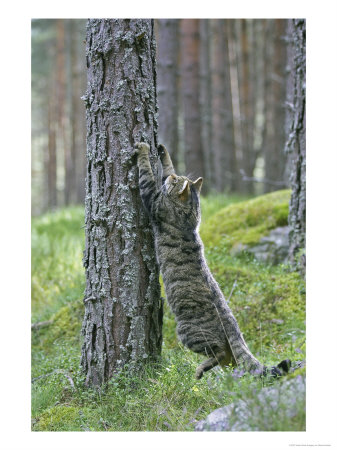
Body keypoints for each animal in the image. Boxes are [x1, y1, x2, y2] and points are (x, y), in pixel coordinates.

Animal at [134, 142, 288, 380]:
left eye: (176, 182)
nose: (173, 179)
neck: (191, 215)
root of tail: (232, 324)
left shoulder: (153, 200)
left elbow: (146, 176)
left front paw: (143, 149)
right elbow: (166, 166)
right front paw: (162, 150)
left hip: (188, 332)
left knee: (218, 352)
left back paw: (199, 371)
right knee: (231, 360)